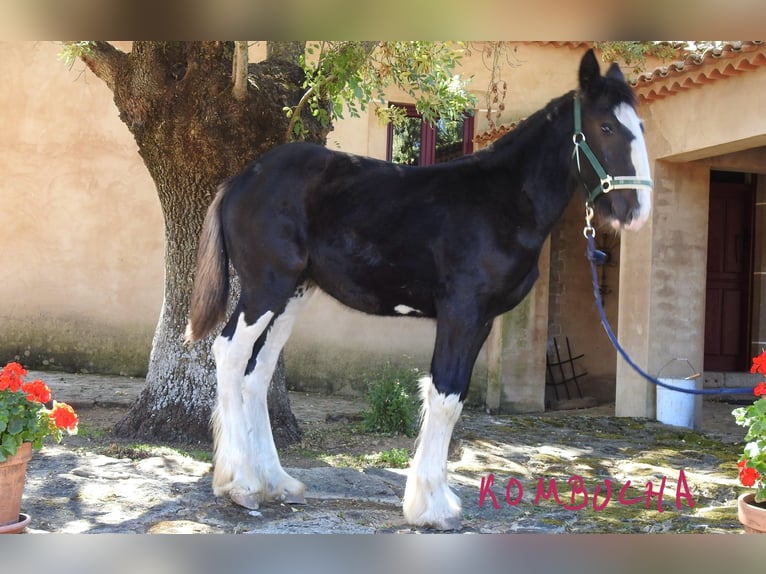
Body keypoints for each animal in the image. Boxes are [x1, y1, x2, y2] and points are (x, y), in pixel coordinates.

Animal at [186, 49, 656, 532]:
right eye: (606, 126)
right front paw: (432, 508)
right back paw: (240, 484)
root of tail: (241, 180)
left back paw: (276, 482)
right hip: (266, 288)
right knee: (230, 353)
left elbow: (456, 397)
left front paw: (435, 500)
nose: (635, 210)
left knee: (258, 372)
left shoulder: (483, 322)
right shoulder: (461, 313)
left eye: (639, 126)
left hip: (292, 295)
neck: (503, 203)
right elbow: (445, 397)